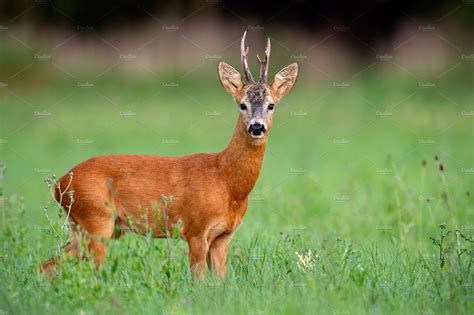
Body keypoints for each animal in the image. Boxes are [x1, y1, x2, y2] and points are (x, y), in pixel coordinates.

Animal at [42, 31, 298, 278]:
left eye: (272, 105)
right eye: (242, 104)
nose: (257, 127)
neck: (227, 182)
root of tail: (59, 184)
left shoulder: (222, 236)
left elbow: (220, 283)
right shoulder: (196, 230)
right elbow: (199, 282)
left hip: (96, 227)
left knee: (50, 263)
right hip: (96, 220)